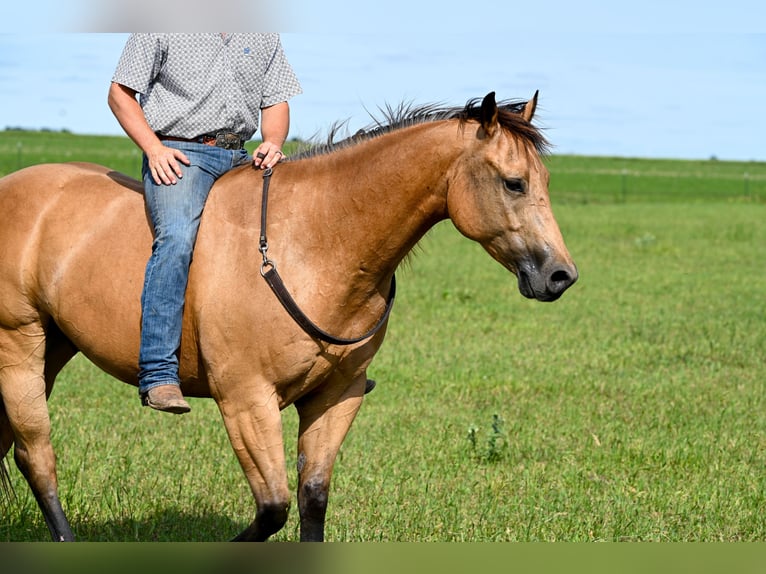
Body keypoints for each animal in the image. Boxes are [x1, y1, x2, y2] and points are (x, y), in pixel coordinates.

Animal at [0, 92, 576, 544]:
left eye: (544, 179)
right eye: (514, 183)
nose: (560, 276)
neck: (312, 244)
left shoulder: (336, 397)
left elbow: (311, 499)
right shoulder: (247, 401)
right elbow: (272, 508)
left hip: (56, 346)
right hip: (20, 344)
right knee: (36, 454)